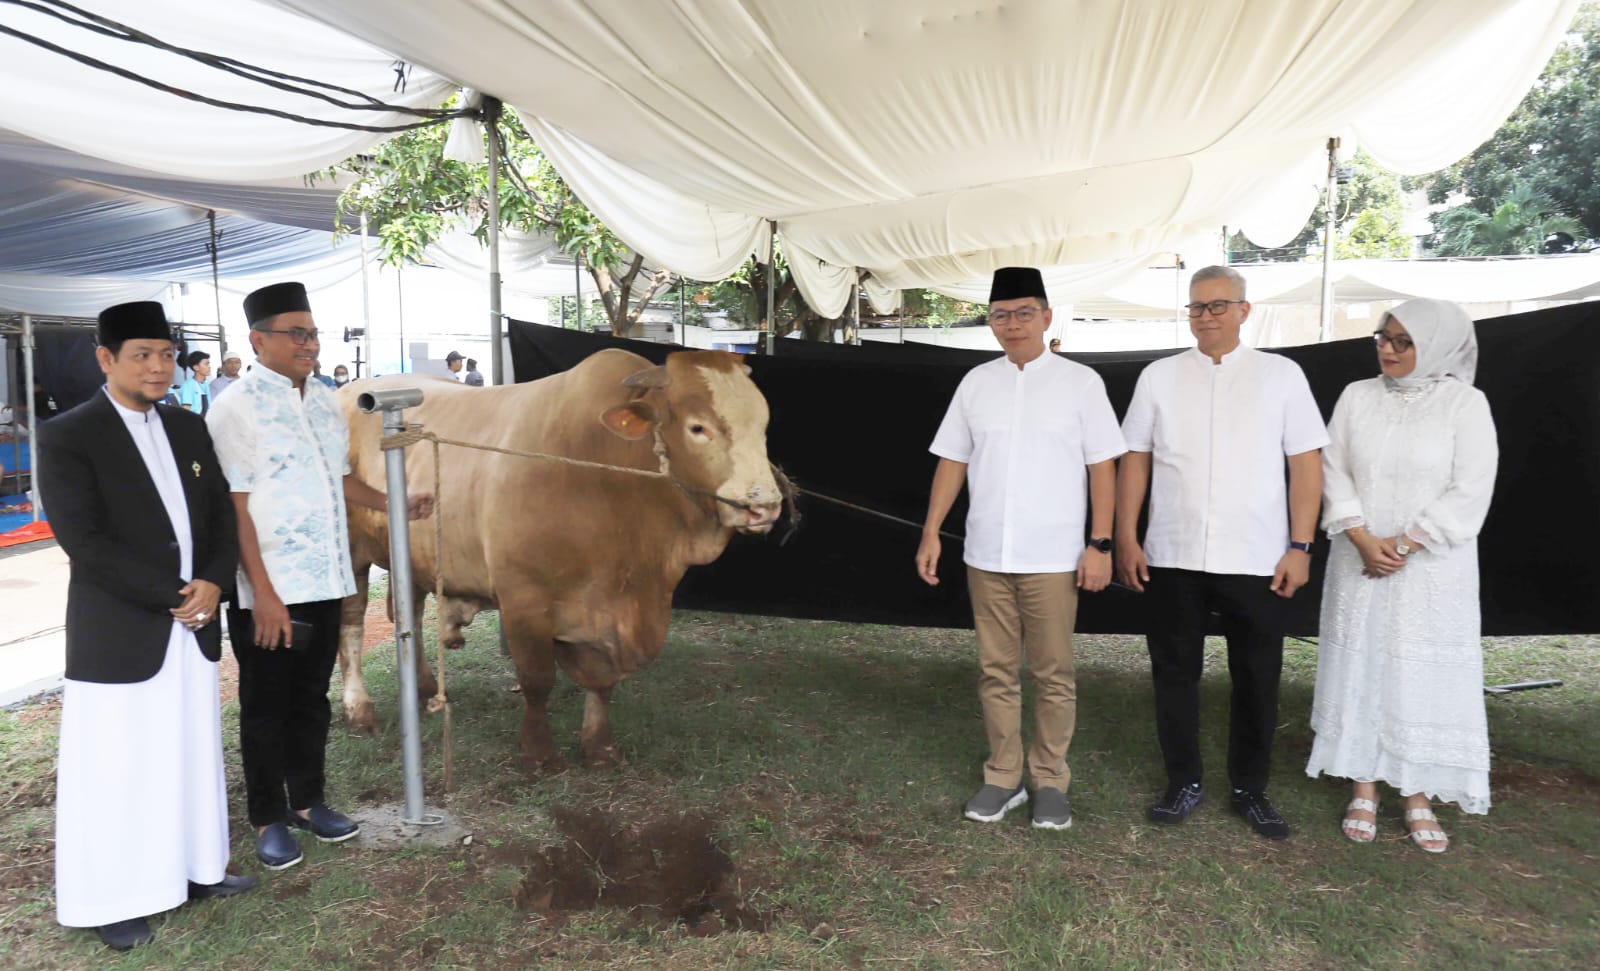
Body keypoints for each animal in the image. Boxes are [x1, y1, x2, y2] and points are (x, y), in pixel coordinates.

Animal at [340, 347, 784, 767]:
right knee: (353, 625)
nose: (766, 506)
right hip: (351, 555)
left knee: (410, 613)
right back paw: (359, 709)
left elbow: (602, 681)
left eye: (762, 424)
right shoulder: (523, 599)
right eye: (698, 427)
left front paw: (599, 747)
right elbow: (537, 679)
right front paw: (538, 753)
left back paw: (422, 686)